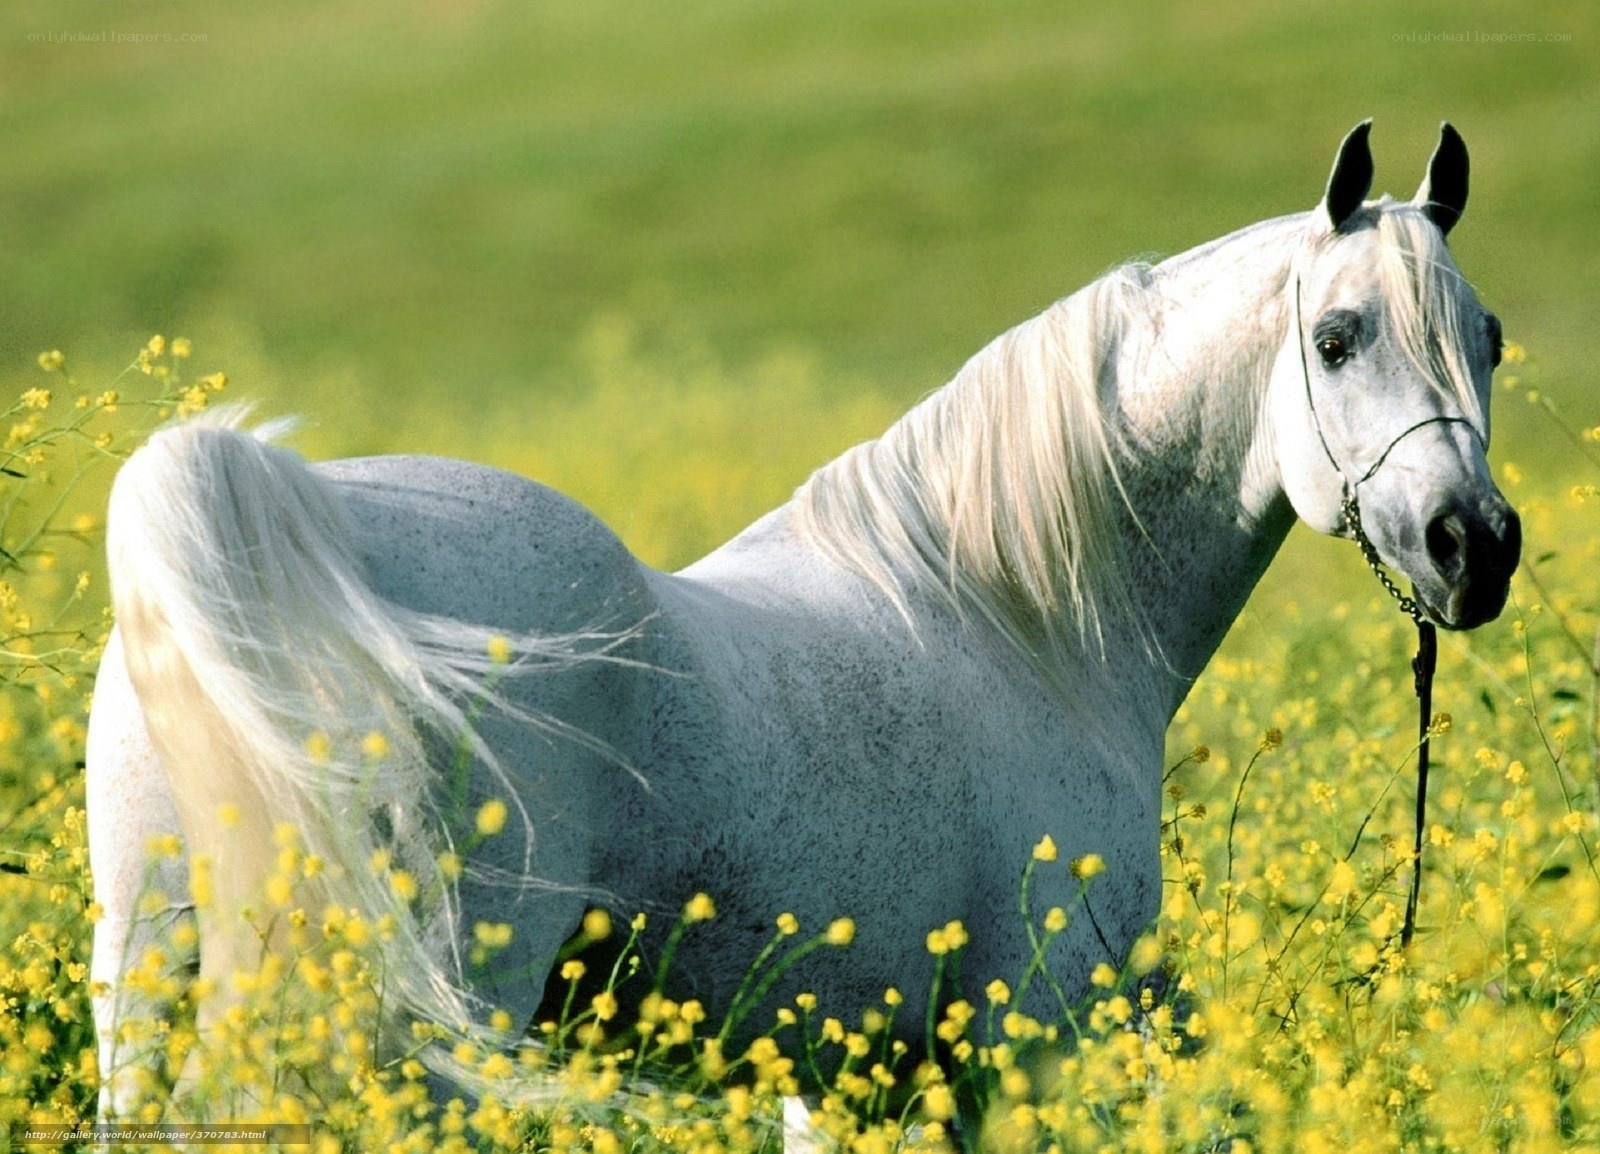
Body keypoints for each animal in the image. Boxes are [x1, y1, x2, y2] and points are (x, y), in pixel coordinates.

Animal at [87, 121, 1519, 1126]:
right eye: (1335, 337)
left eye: (1491, 339)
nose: (1477, 544)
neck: (1019, 622)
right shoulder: (1035, 1042)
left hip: (150, 982)